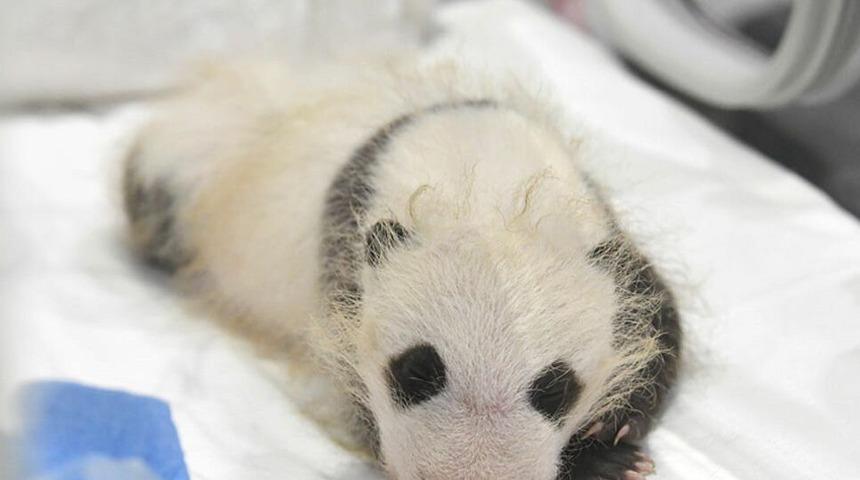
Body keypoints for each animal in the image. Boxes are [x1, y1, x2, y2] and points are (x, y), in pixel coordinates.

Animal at [123, 59, 681, 480]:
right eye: (417, 371)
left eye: (554, 389)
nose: (470, 474)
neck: (483, 190)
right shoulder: (343, 264)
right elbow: (355, 394)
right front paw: (603, 462)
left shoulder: (603, 239)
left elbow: (659, 324)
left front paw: (611, 442)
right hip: (181, 180)